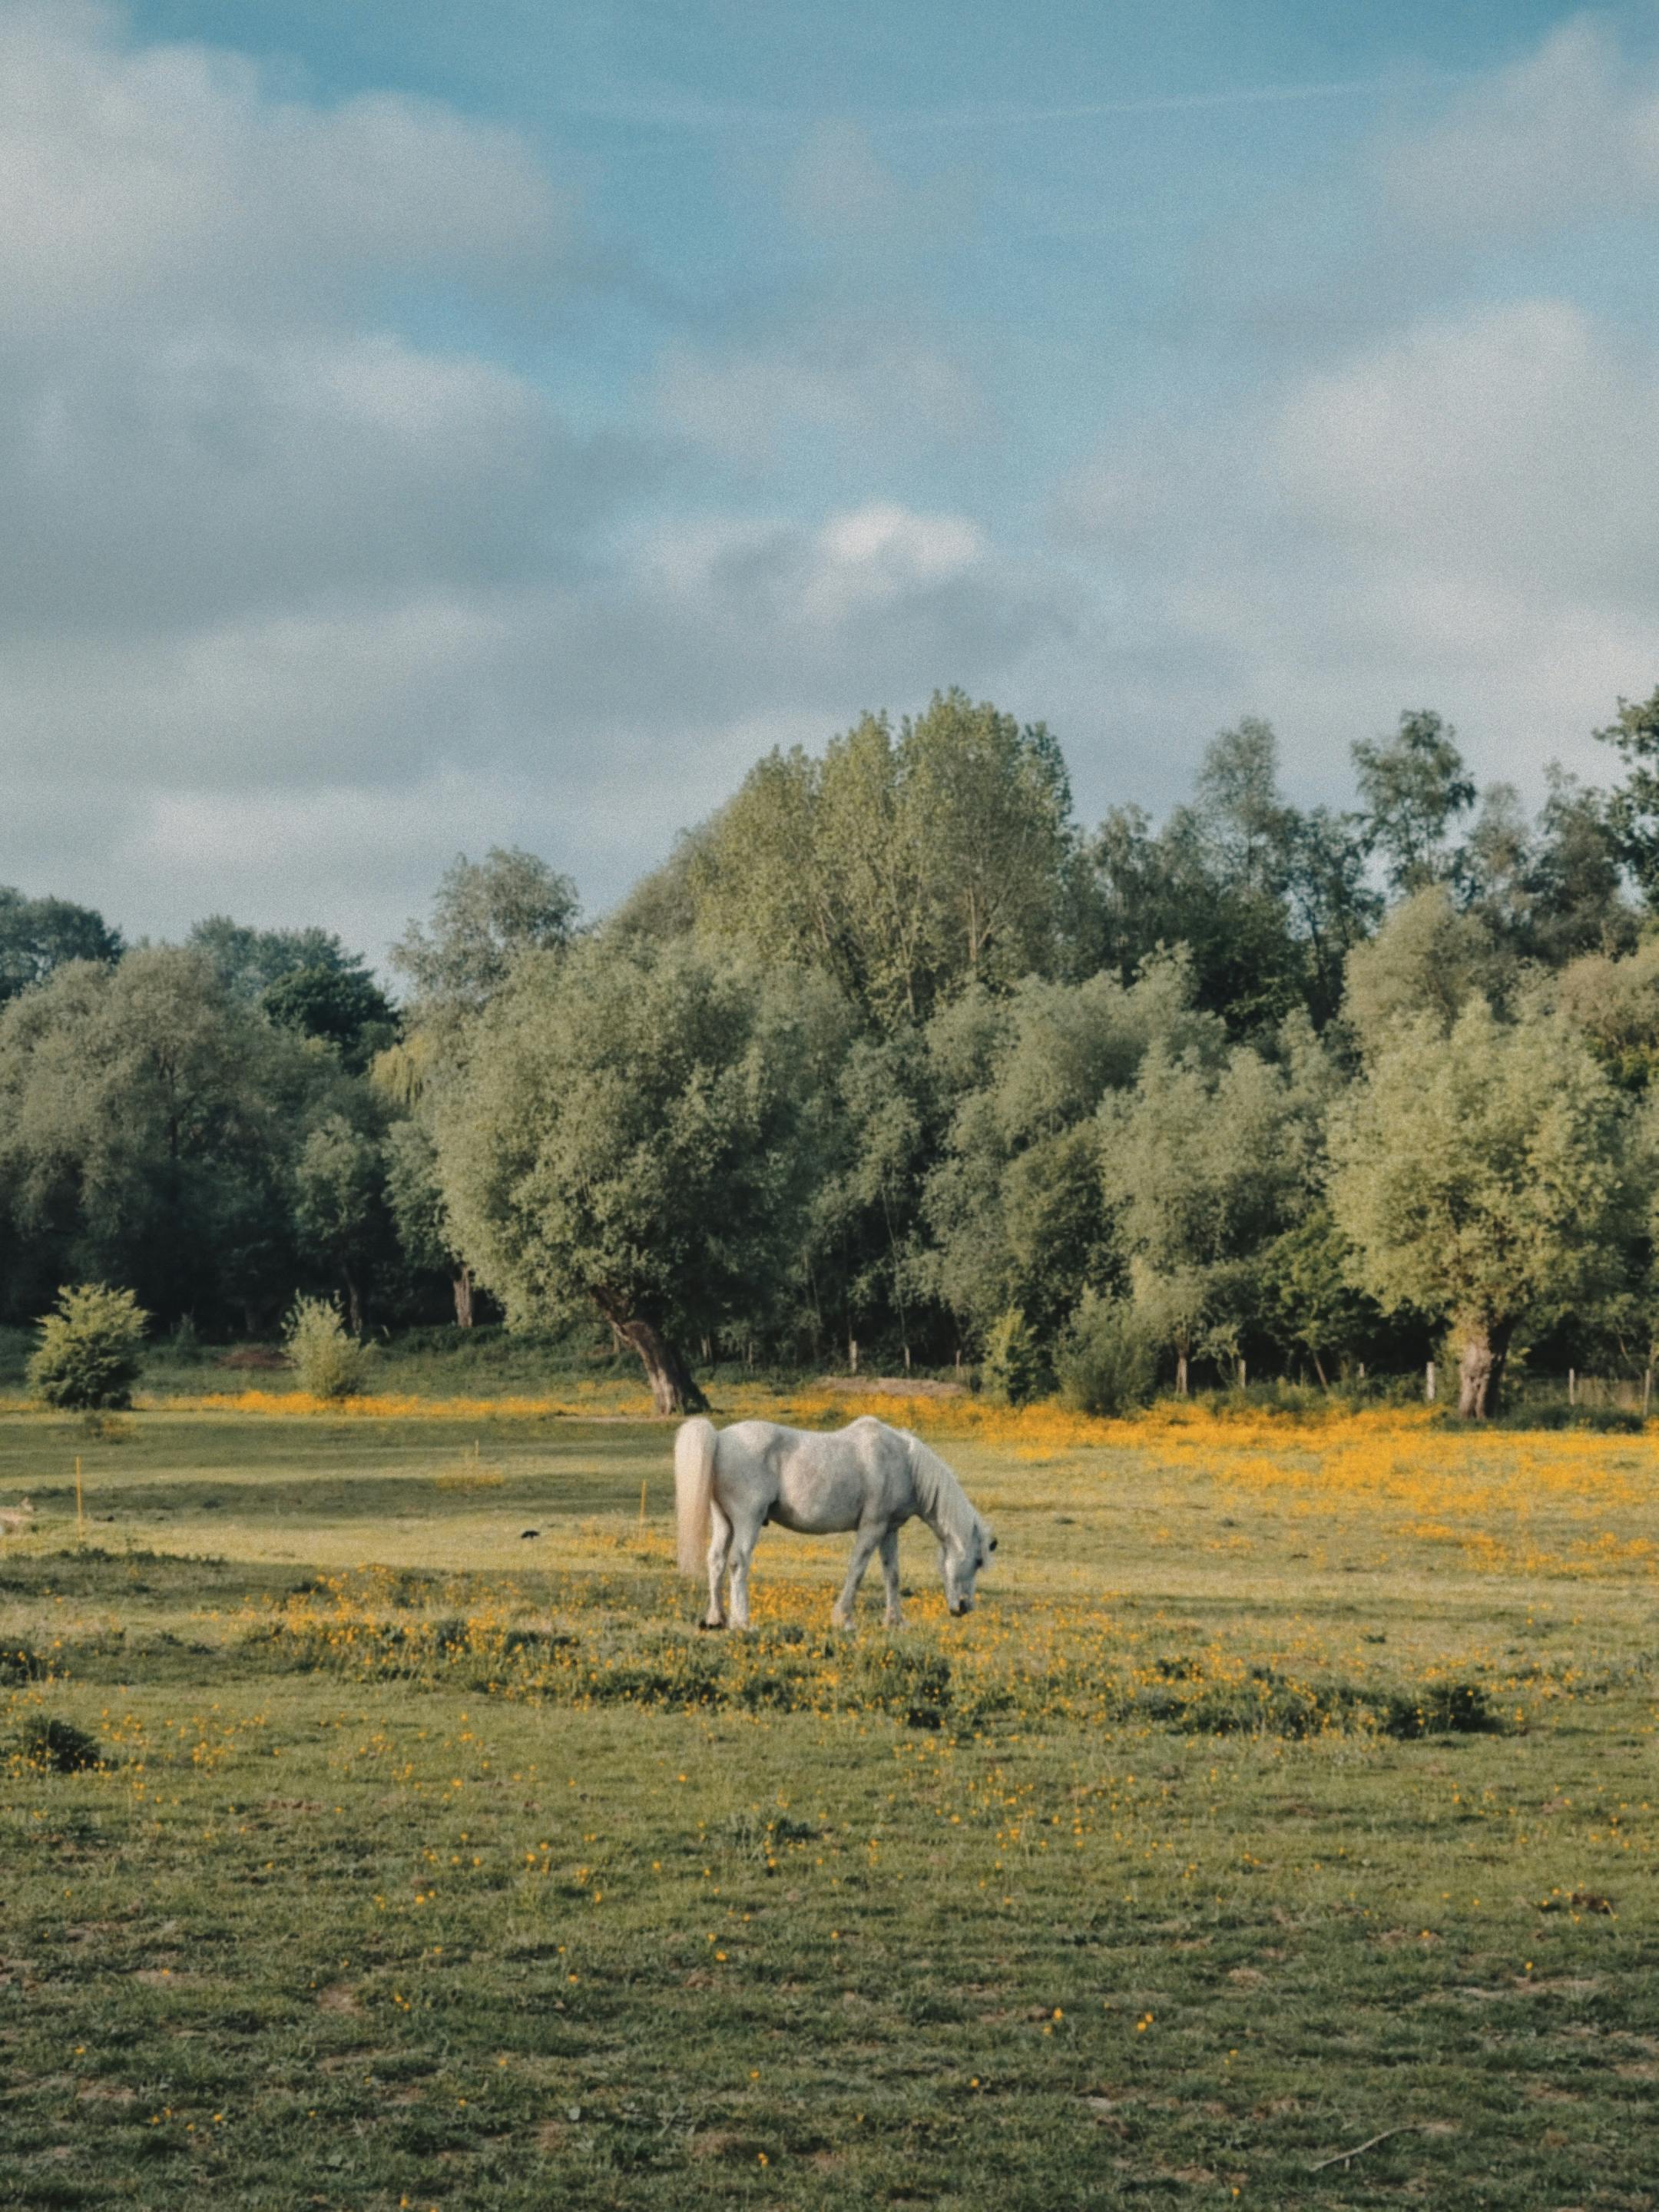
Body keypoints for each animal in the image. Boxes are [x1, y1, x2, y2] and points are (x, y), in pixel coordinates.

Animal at [673, 1413, 996, 1631]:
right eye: (979, 1560)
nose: (964, 1608)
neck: (903, 1462)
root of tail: (720, 1438)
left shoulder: (889, 1531)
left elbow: (892, 1575)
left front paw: (896, 1621)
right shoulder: (872, 1528)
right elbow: (857, 1570)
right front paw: (844, 1618)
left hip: (725, 1522)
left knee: (716, 1561)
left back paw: (717, 1618)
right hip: (747, 1521)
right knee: (738, 1563)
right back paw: (743, 1622)